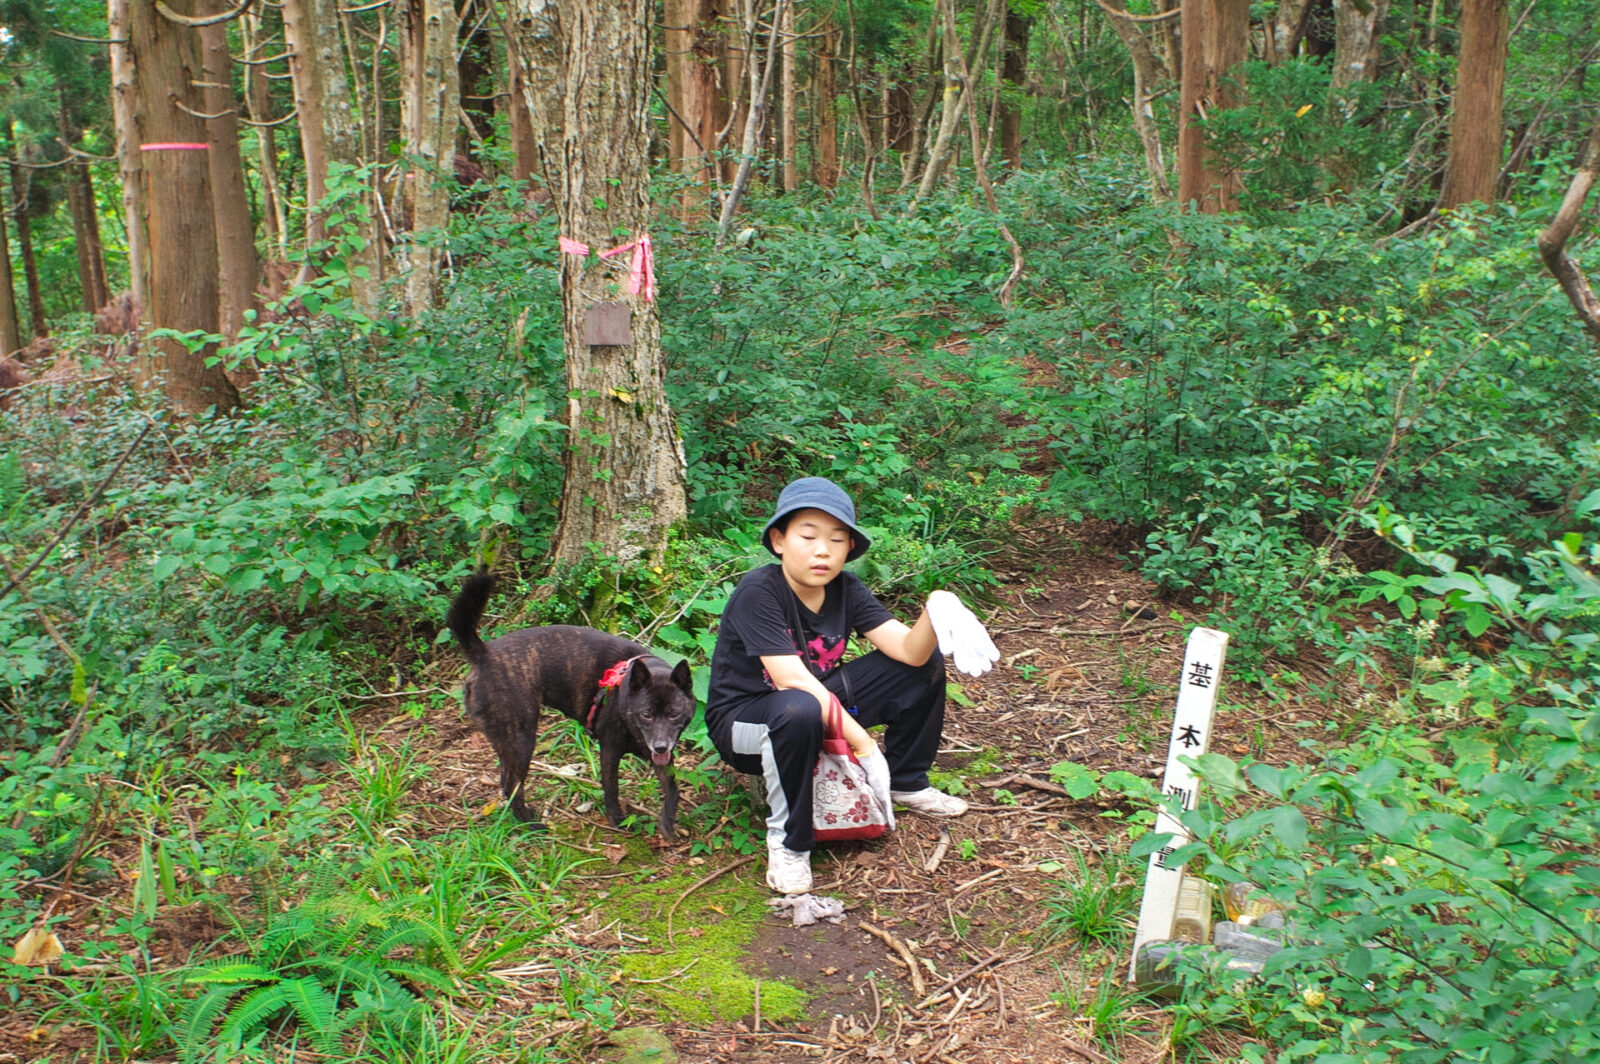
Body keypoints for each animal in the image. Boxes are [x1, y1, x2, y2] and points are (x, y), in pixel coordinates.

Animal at [446, 572, 695, 837]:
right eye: (646, 714)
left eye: (674, 714)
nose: (660, 746)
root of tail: (484, 654)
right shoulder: (610, 750)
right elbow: (612, 788)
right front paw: (617, 820)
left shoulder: (661, 755)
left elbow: (673, 789)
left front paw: (667, 823)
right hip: (522, 740)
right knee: (513, 783)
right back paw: (529, 824)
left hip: (507, 741)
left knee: (506, 780)